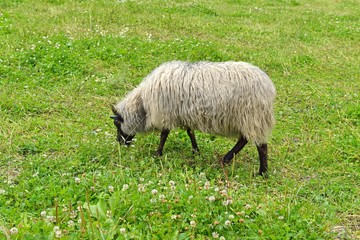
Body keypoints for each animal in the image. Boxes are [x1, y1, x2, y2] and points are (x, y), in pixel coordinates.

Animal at [112, 61, 276, 175]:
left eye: (117, 124)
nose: (120, 143)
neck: (143, 105)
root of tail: (268, 86)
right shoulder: (184, 115)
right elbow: (190, 132)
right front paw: (196, 151)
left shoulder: (166, 115)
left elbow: (164, 135)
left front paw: (158, 153)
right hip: (249, 119)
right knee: (244, 139)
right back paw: (227, 159)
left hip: (252, 117)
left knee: (261, 146)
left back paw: (262, 172)